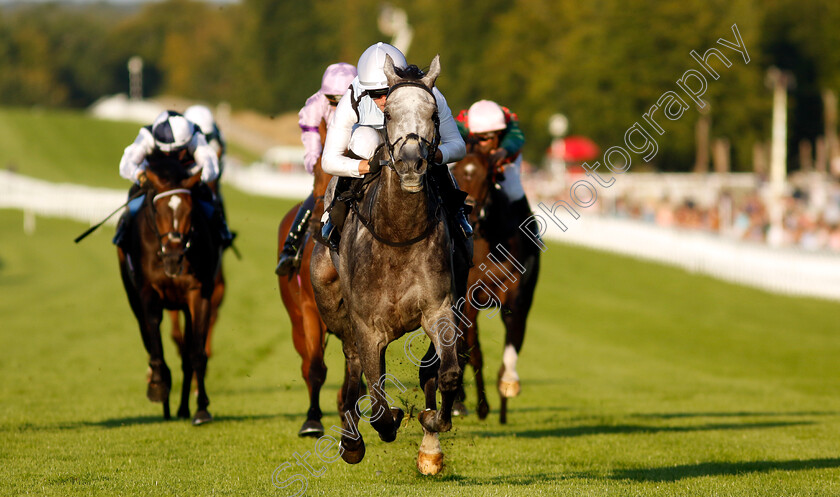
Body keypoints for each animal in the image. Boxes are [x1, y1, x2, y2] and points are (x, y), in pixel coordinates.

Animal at [118, 157, 225, 424]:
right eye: (158, 210)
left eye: (190, 211)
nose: (175, 258)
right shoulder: (148, 292)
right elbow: (155, 339)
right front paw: (158, 383)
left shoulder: (199, 293)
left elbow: (196, 353)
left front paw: (201, 408)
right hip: (133, 298)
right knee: (147, 336)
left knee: (186, 353)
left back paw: (183, 408)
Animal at [310, 54, 470, 472]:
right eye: (390, 114)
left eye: (433, 115)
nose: (413, 163)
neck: (398, 233)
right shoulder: (368, 327)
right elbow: (378, 402)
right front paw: (387, 423)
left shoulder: (439, 308)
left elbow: (447, 374)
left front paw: (432, 425)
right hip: (333, 304)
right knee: (352, 371)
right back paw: (351, 441)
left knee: (428, 371)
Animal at [450, 150, 540, 422]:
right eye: (456, 173)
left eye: (487, 177)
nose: (470, 214)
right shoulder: (468, 300)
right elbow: (471, 350)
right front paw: (480, 405)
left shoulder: (516, 297)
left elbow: (513, 341)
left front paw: (508, 384)